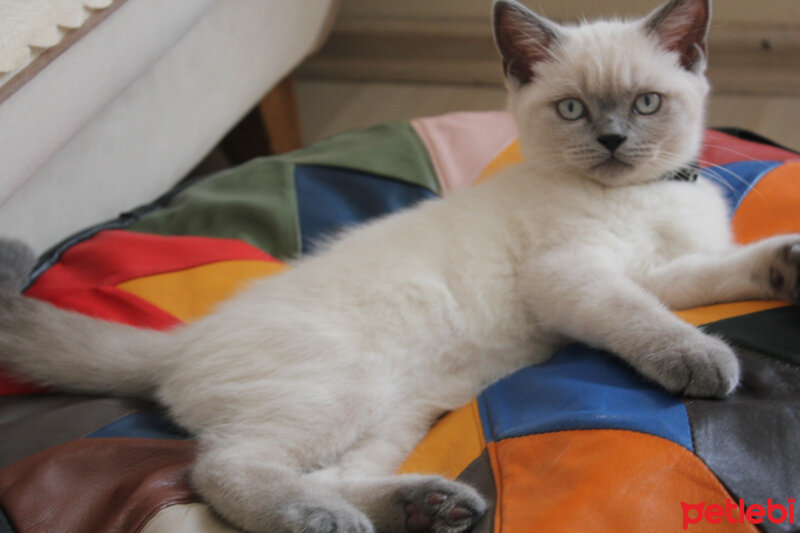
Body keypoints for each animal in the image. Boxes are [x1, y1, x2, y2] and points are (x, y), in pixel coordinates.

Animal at [1, 1, 800, 532]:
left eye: (646, 103)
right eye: (573, 109)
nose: (611, 140)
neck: (639, 196)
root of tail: (183, 340)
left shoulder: (659, 268)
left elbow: (709, 274)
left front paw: (786, 265)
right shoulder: (574, 279)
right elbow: (648, 320)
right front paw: (703, 362)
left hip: (400, 412)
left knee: (332, 472)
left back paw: (429, 504)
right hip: (344, 389)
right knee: (219, 469)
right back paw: (319, 518)